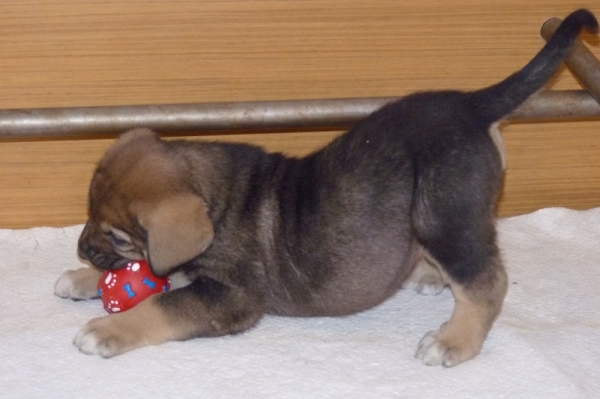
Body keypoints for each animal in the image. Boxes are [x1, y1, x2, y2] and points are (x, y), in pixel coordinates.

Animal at [55, 9, 596, 368]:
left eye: (120, 235)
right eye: (90, 214)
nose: (82, 248)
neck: (217, 198)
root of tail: (474, 104)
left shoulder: (229, 297)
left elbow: (160, 304)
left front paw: (107, 328)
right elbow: (148, 281)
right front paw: (82, 278)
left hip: (444, 211)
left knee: (487, 281)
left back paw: (453, 341)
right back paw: (428, 275)